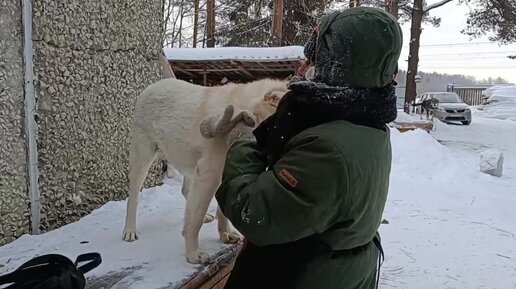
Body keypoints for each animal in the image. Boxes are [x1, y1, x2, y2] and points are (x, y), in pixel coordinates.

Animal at [123, 76, 288, 264]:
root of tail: (156, 84)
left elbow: (222, 211)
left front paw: (225, 234)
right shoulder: (210, 175)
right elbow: (196, 220)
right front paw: (193, 253)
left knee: (185, 190)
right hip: (142, 158)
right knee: (134, 197)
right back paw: (129, 230)